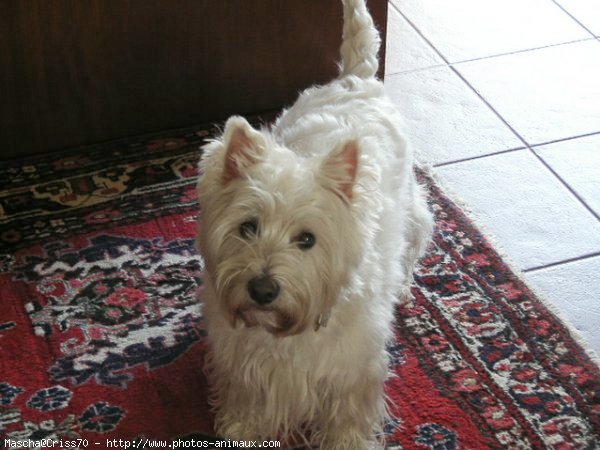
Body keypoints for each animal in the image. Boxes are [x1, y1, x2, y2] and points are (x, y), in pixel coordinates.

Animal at [197, 0, 432, 446]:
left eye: (307, 239)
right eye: (248, 227)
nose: (262, 290)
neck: (286, 334)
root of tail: (356, 77)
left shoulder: (352, 372)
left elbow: (347, 419)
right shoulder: (242, 364)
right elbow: (245, 404)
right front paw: (241, 432)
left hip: (412, 207)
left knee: (417, 237)